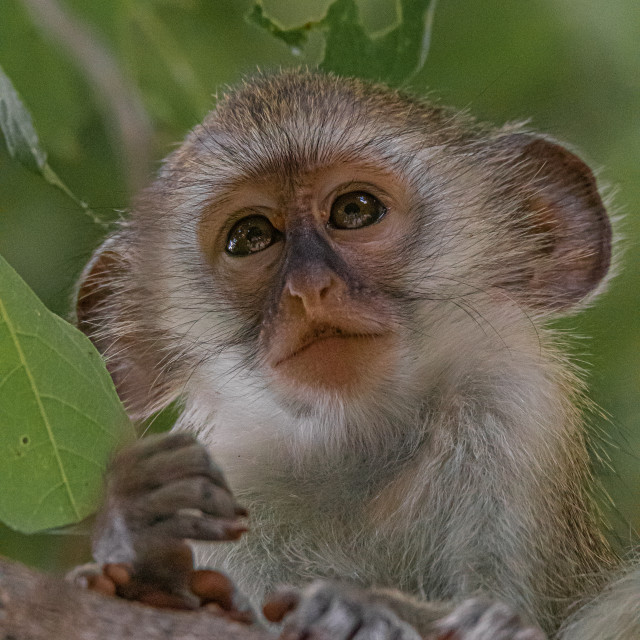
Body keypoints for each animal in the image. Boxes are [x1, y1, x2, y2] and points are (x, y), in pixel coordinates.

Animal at [74, 71, 636, 640]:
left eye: (355, 210)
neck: (363, 447)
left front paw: (360, 609)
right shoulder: (239, 479)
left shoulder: (516, 411)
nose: (309, 288)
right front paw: (143, 553)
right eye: (250, 237)